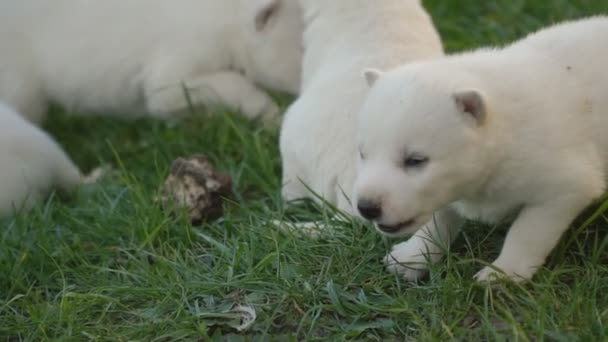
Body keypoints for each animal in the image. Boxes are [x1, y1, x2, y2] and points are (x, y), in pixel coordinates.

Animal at [354, 16, 608, 282]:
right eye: (363, 154)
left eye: (415, 160)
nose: (367, 207)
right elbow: (437, 220)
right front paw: (412, 257)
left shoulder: (565, 186)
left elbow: (527, 231)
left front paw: (504, 274)